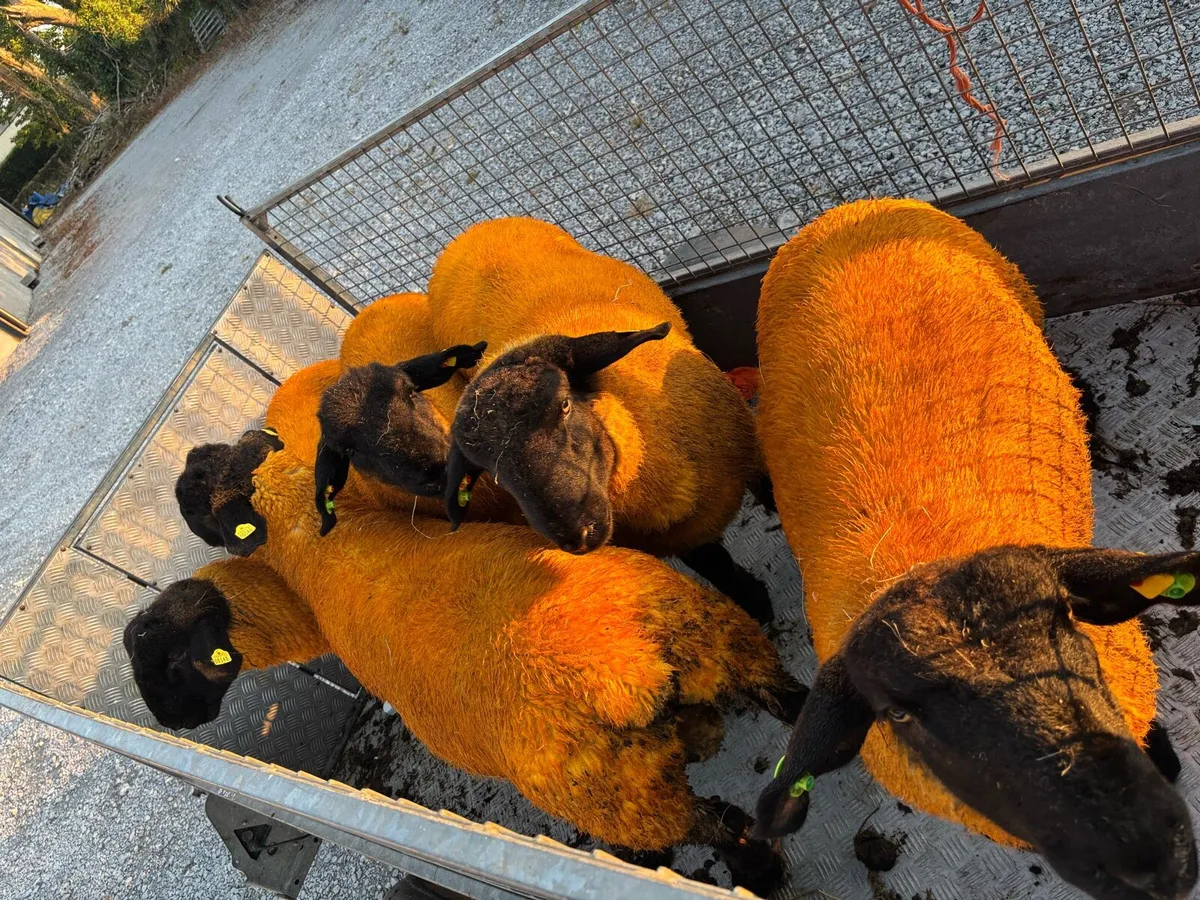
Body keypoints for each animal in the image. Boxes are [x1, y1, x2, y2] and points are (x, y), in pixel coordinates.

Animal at [150, 425, 806, 891]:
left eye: (199, 504)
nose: (178, 719)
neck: (318, 544)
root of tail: (624, 674)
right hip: (723, 643)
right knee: (790, 713)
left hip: (633, 806)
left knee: (726, 832)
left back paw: (758, 875)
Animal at [423, 217, 770, 622]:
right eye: (489, 470)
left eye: (564, 405)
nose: (577, 536)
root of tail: (474, 230)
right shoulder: (682, 539)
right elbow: (718, 567)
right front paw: (755, 603)